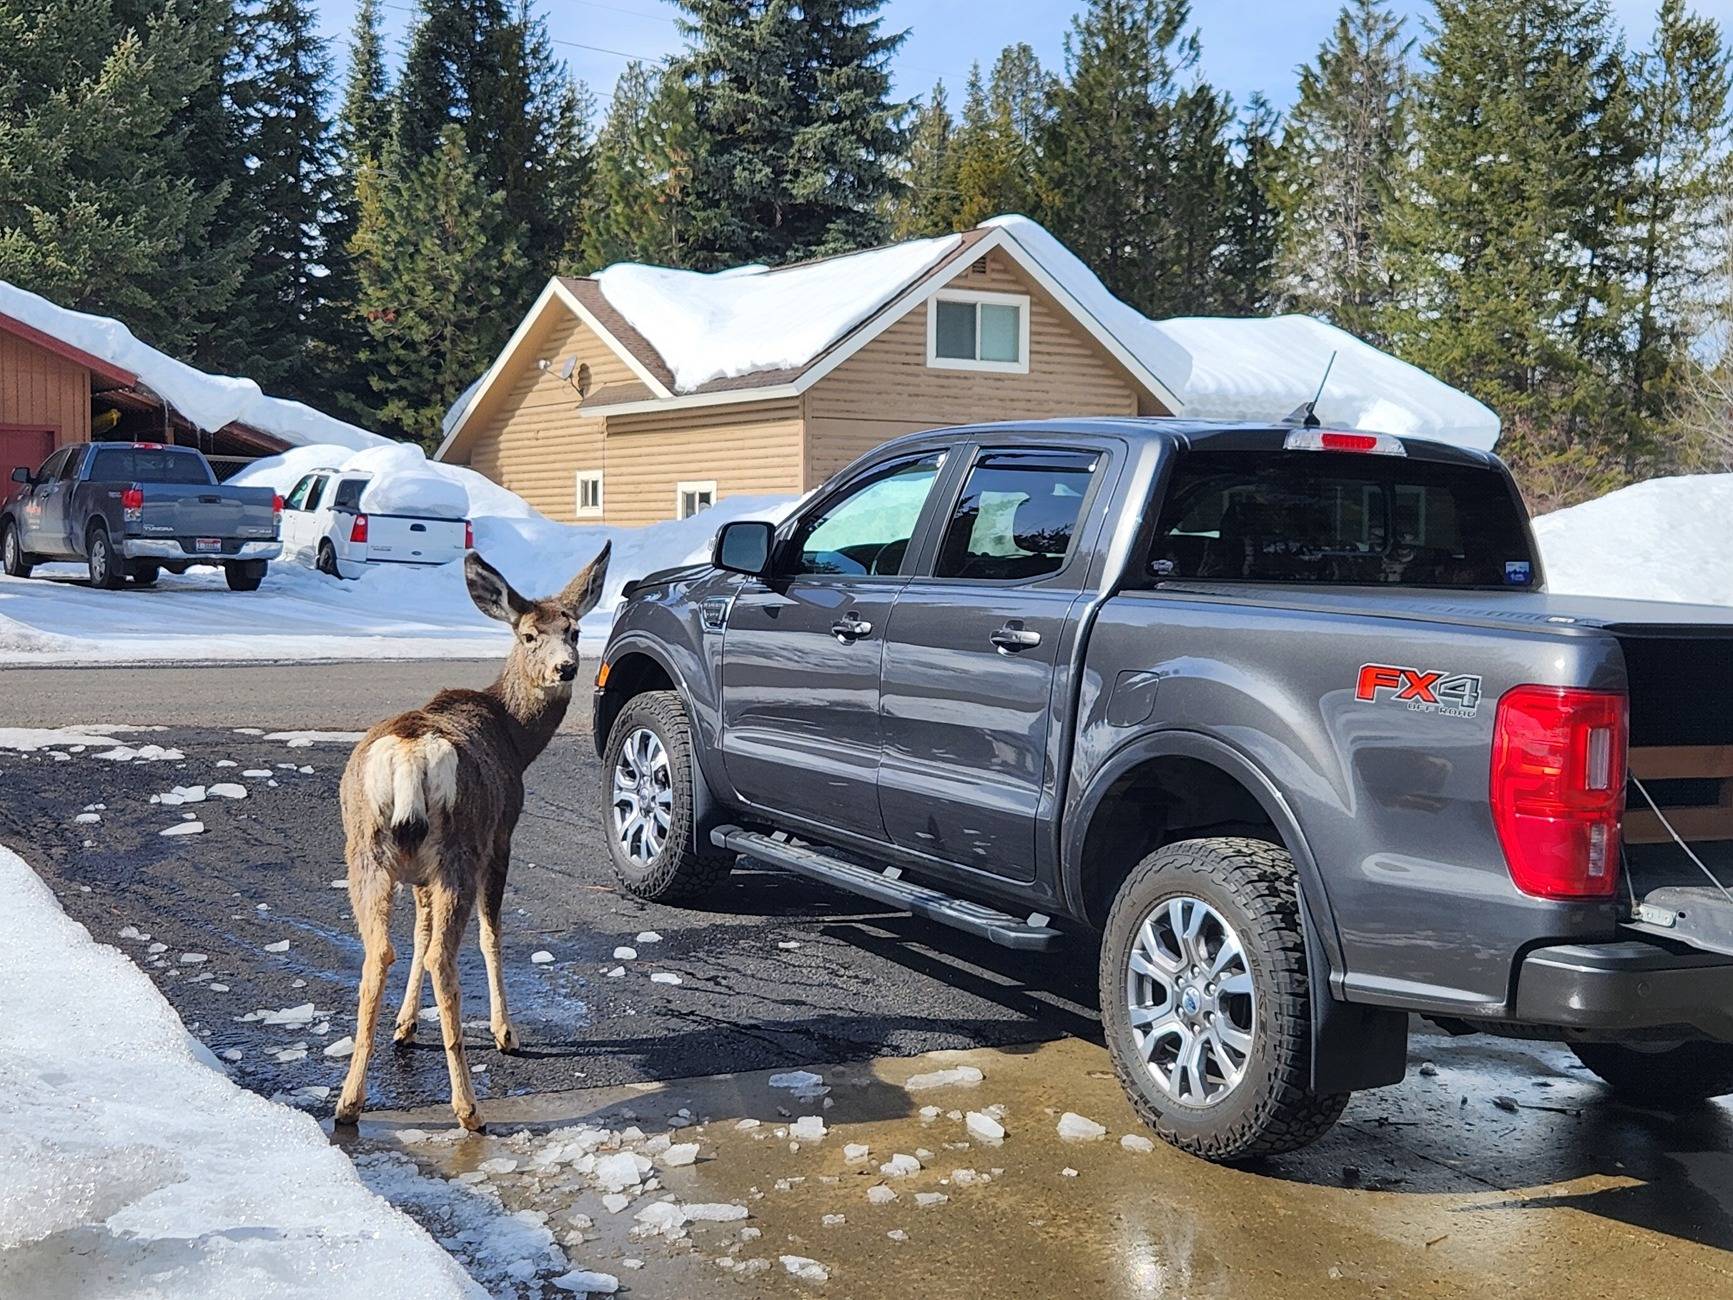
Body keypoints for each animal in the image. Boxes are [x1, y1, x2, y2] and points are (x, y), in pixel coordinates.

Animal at [334, 544, 610, 1131]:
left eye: (574, 630)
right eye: (528, 635)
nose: (566, 667)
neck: (515, 736)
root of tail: (408, 751)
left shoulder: (418, 872)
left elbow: (417, 936)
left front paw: (405, 1025)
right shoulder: (503, 834)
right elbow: (491, 934)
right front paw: (506, 1033)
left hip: (367, 849)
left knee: (378, 952)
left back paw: (349, 1102)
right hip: (460, 848)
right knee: (445, 957)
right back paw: (468, 1108)